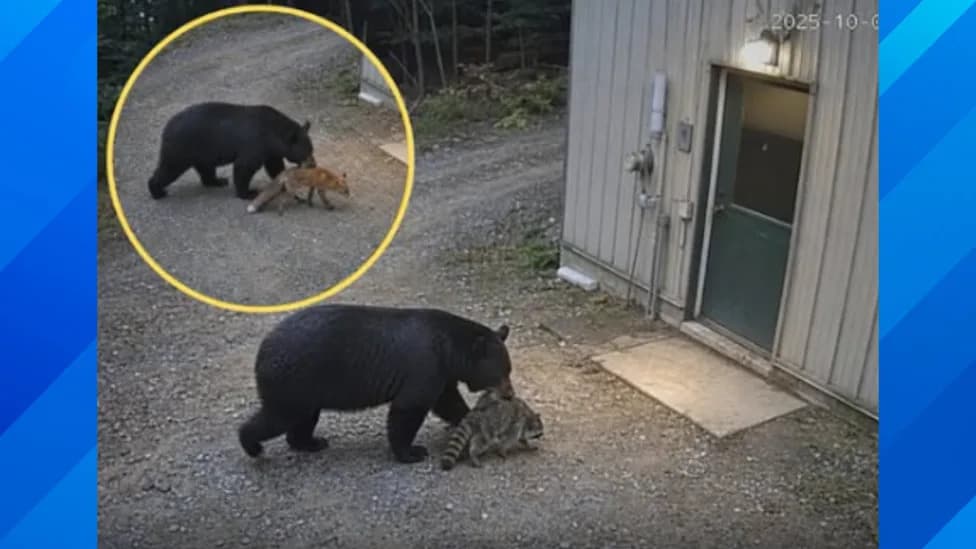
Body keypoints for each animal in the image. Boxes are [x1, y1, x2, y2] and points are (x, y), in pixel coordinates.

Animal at [146, 102, 314, 200]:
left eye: (312, 150)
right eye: (307, 152)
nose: (313, 165)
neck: (273, 131)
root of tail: (166, 128)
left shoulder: (270, 150)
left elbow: (274, 166)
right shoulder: (256, 143)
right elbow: (244, 166)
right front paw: (248, 193)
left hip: (202, 150)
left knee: (206, 168)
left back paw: (217, 181)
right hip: (181, 147)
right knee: (169, 169)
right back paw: (157, 191)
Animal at [237, 304, 516, 464]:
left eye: (509, 370)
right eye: (501, 372)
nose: (510, 394)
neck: (449, 348)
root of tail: (263, 350)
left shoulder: (442, 372)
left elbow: (447, 400)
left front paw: (467, 418)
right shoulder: (425, 365)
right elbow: (409, 407)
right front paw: (412, 452)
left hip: (307, 385)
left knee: (303, 417)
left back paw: (311, 443)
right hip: (294, 378)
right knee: (279, 416)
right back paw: (253, 446)